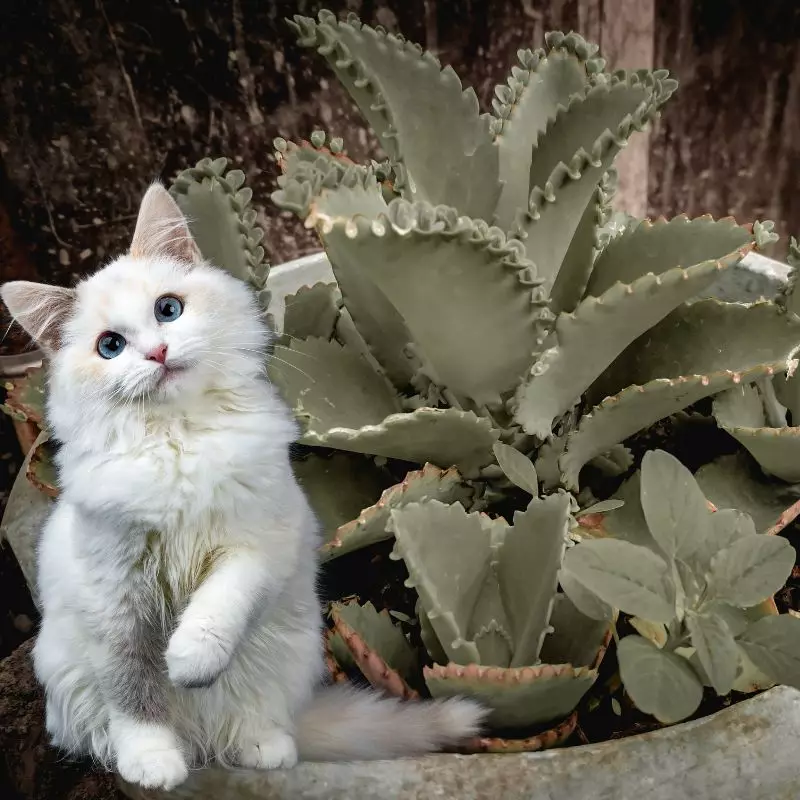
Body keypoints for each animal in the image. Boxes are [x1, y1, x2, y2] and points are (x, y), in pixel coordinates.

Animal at [0, 184, 484, 792]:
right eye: (110, 346)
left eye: (168, 309)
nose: (157, 353)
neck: (178, 443)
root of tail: (204, 742)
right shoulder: (116, 599)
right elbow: (135, 693)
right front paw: (152, 762)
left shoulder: (256, 545)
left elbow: (216, 608)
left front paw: (187, 662)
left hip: (286, 651)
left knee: (258, 718)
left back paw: (263, 747)